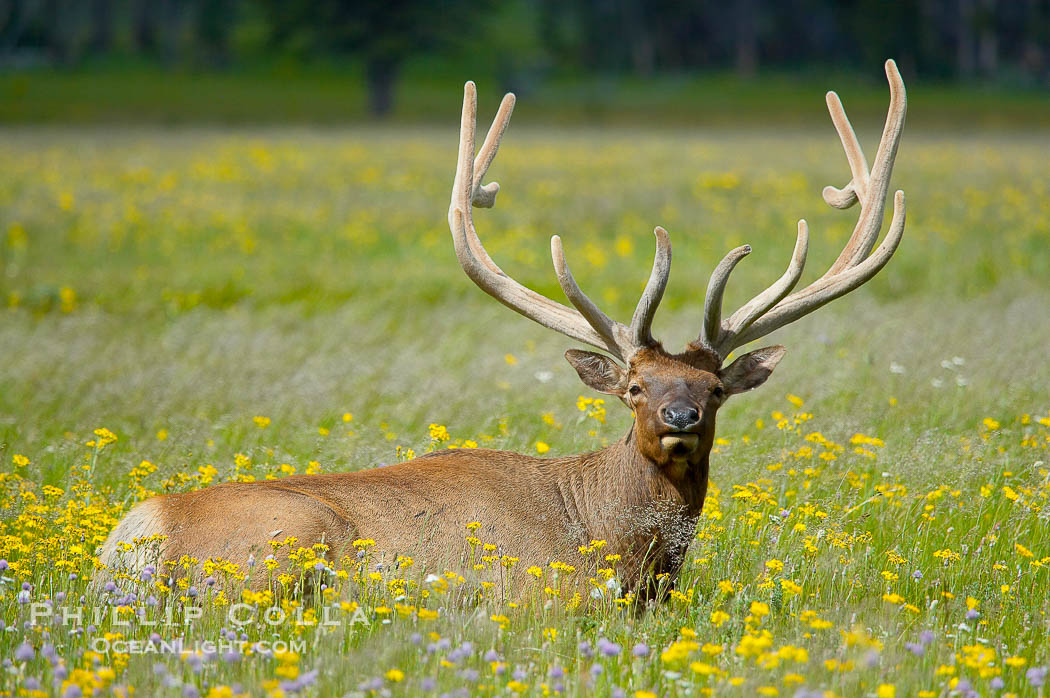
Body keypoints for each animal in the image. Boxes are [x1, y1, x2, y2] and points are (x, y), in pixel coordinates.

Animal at [98, 60, 907, 601]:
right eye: (634, 387)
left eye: (713, 389)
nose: (678, 417)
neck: (621, 554)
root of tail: (135, 541)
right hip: (282, 553)